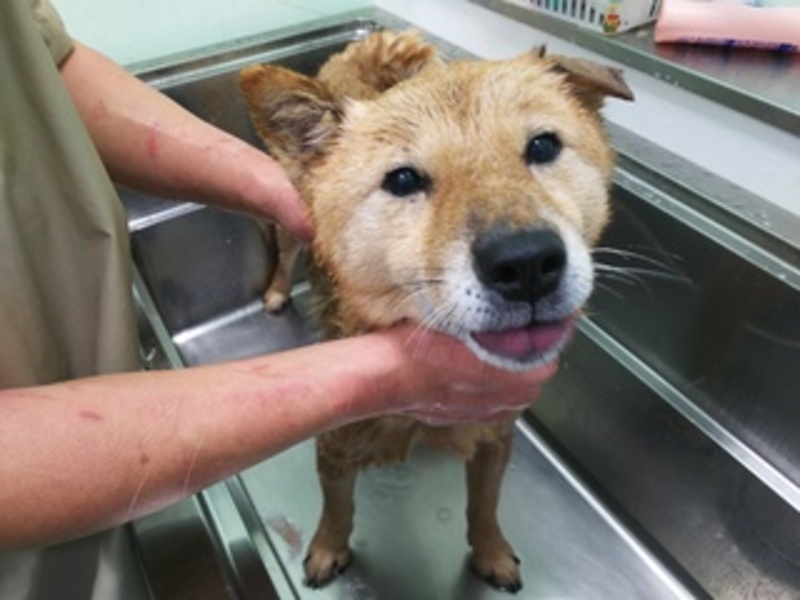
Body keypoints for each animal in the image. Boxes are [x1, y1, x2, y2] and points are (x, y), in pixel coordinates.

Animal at [239, 31, 632, 592]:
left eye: (543, 146)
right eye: (403, 180)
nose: (526, 262)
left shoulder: (495, 437)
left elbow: (484, 506)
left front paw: (491, 552)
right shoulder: (335, 444)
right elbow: (337, 511)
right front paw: (328, 550)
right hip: (290, 223)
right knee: (285, 251)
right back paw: (275, 292)